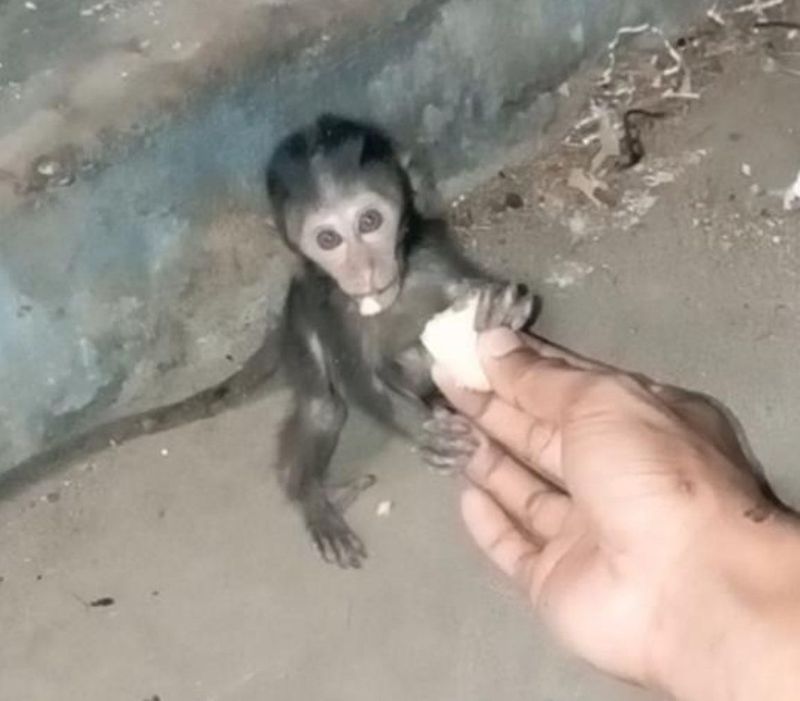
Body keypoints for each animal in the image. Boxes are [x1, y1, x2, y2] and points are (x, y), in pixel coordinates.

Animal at [265, 114, 536, 569]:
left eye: (369, 222)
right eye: (328, 240)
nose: (365, 271)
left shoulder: (432, 256)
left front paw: (503, 308)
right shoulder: (330, 309)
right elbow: (361, 382)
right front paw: (427, 432)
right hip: (297, 327)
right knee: (324, 408)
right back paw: (315, 498)